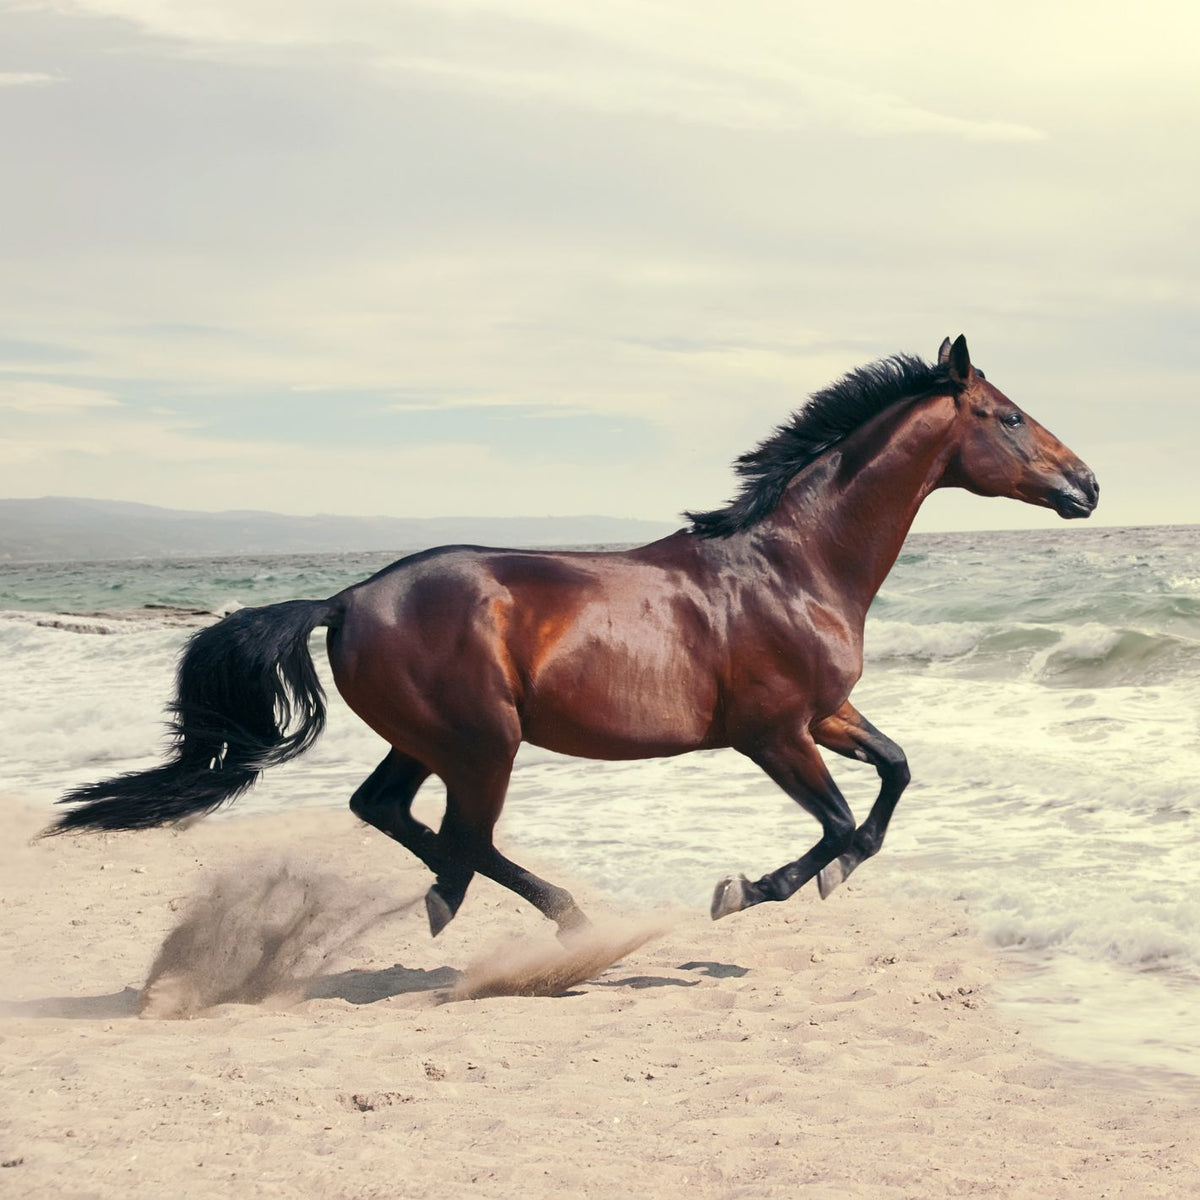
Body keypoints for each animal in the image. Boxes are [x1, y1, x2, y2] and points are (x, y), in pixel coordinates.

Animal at [48, 335, 1098, 937]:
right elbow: (840, 820)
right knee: (460, 834)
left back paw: (498, 905)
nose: (1087, 485)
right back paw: (530, 914)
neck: (792, 565)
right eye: (1008, 416)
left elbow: (894, 777)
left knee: (395, 813)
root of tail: (347, 598)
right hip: (484, 741)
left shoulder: (826, 713)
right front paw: (748, 890)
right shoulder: (772, 733)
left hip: (432, 739)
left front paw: (822, 877)